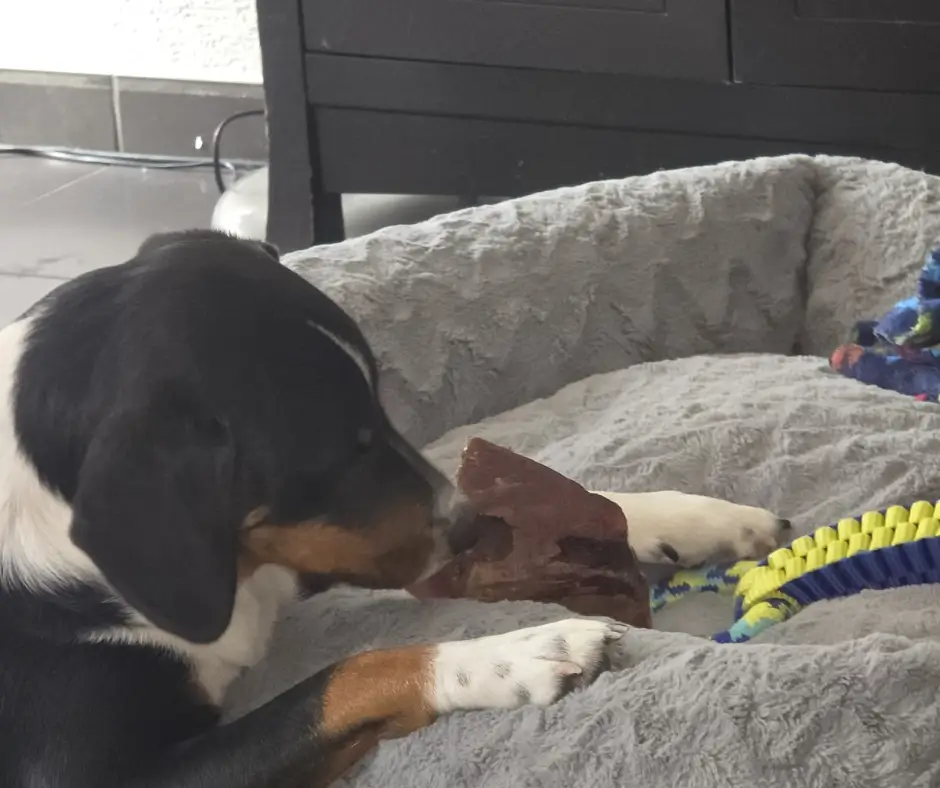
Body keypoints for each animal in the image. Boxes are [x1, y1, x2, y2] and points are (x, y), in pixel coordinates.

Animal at [0, 230, 787, 787]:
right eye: (339, 455)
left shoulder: (314, 549)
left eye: (382, 411)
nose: (470, 531)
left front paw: (700, 519)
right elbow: (339, 680)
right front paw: (516, 652)